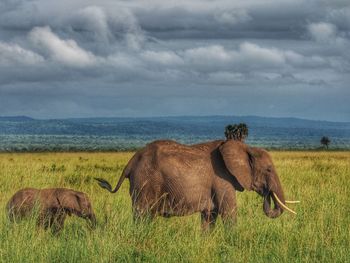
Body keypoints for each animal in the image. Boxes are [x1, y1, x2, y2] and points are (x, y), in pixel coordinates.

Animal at [95, 140, 298, 229]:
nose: (267, 193)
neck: (245, 147)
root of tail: (130, 162)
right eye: (269, 170)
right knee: (142, 216)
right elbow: (229, 214)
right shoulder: (222, 179)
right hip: (145, 182)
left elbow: (209, 217)